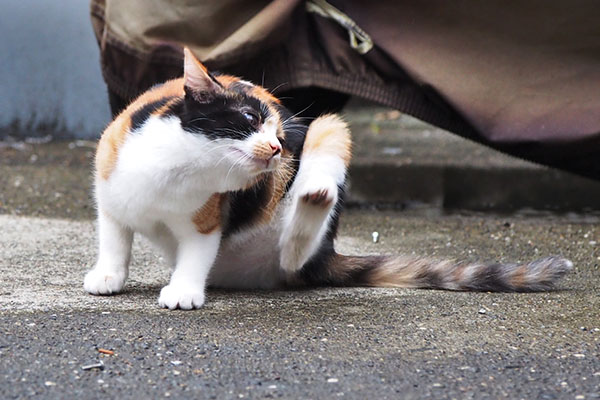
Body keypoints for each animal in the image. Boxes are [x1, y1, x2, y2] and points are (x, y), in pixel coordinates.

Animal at [83, 47, 572, 310]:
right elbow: (114, 239)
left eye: (280, 136)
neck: (175, 172)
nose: (278, 150)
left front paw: (183, 290)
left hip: (327, 128)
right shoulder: (110, 195)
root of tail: (323, 258)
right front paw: (108, 275)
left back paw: (311, 204)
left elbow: (195, 255)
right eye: (248, 119)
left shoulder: (208, 223)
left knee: (306, 219)